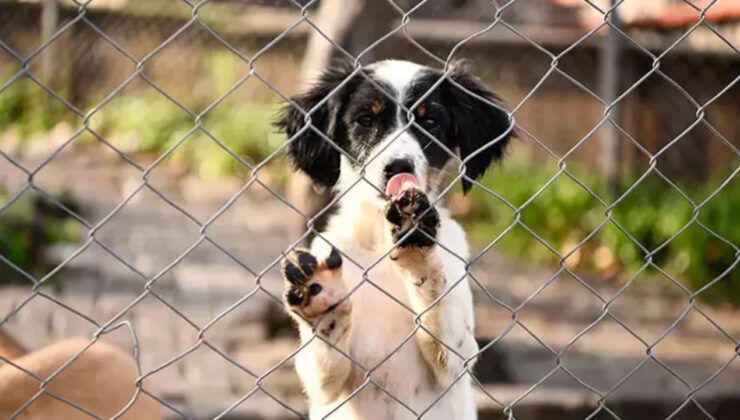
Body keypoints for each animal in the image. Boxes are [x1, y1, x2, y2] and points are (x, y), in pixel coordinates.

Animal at [274, 60, 512, 420]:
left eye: (429, 121)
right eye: (365, 120)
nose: (399, 167)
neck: (379, 243)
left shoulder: (458, 359)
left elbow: (438, 302)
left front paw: (417, 249)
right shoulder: (322, 386)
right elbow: (322, 359)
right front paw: (322, 299)